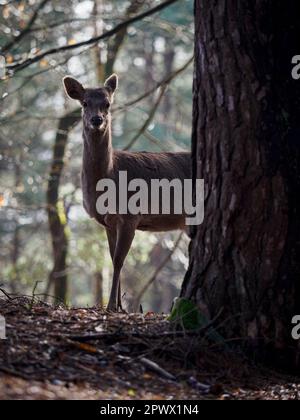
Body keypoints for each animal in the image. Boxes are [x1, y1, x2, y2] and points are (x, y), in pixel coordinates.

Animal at [62, 74, 191, 312]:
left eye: (107, 104)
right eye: (84, 103)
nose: (97, 120)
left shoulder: (131, 215)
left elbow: (119, 260)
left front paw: (112, 305)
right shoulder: (108, 221)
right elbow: (112, 257)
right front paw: (119, 305)